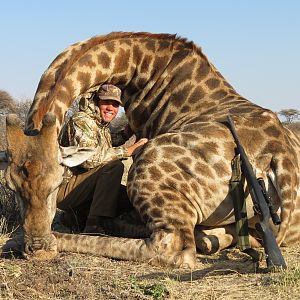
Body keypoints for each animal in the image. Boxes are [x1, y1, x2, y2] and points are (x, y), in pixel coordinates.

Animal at [1, 31, 298, 268]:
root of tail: (279, 156)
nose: (38, 249)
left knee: (173, 249)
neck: (143, 68)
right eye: (11, 187)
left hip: (144, 170)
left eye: (56, 184)